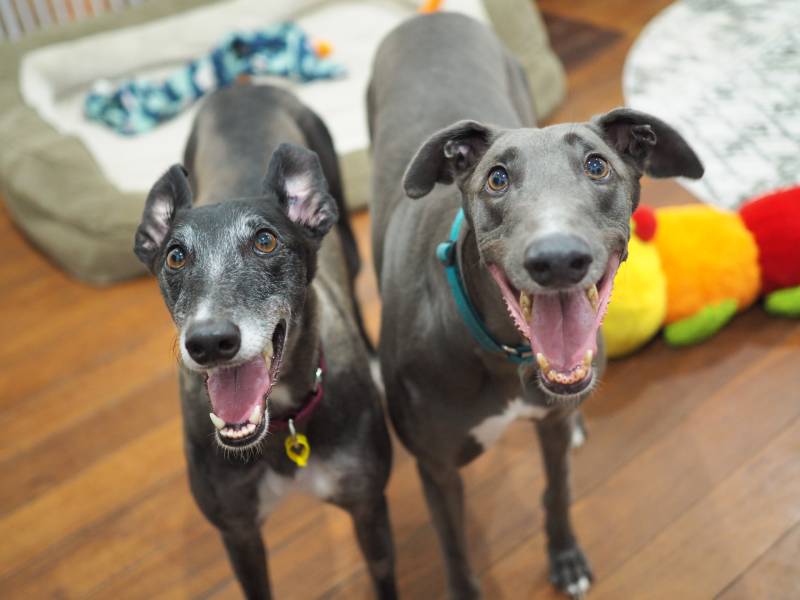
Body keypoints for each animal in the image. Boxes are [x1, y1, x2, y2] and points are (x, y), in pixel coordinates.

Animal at [137, 84, 400, 600]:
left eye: (265, 241)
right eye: (175, 256)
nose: (209, 341)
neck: (280, 426)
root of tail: (240, 84)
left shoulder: (368, 506)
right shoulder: (238, 531)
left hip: (344, 228)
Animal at [366, 11, 704, 596]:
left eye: (597, 166)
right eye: (496, 179)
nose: (558, 258)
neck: (504, 354)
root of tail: (433, 16)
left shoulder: (549, 426)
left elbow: (558, 493)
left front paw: (565, 558)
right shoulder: (436, 469)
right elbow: (454, 548)